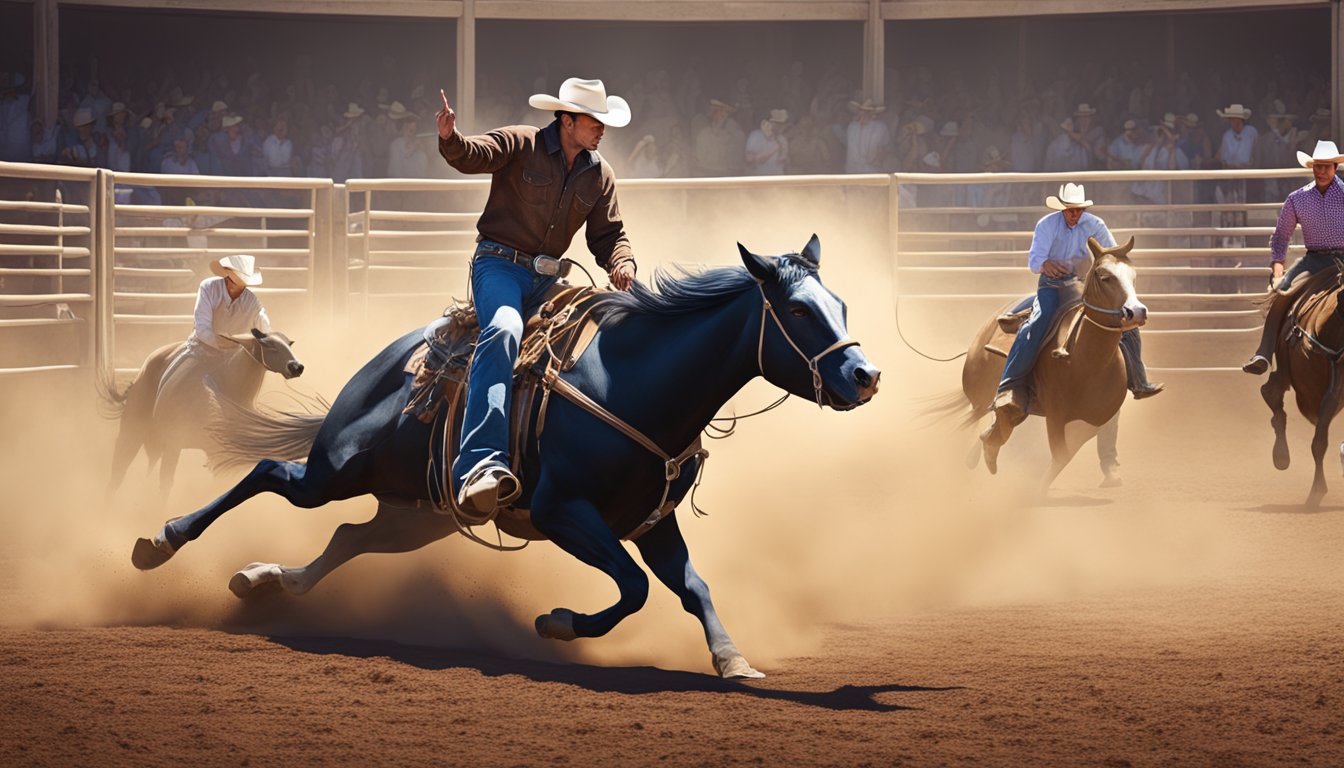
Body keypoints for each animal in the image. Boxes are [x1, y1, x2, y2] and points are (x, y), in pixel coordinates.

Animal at [98, 329, 305, 494]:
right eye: (269, 346)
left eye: (288, 343)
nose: (296, 366)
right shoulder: (174, 443)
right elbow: (166, 484)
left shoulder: (222, 451)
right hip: (131, 434)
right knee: (117, 474)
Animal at [128, 239, 881, 677]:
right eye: (800, 312)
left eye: (841, 303)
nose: (865, 376)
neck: (633, 383)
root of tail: (385, 359)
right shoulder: (563, 511)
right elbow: (634, 588)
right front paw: (557, 623)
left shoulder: (653, 524)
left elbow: (692, 586)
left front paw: (732, 660)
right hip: (339, 467)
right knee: (270, 476)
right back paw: (160, 543)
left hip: (420, 513)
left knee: (349, 536)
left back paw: (263, 580)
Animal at [956, 238, 1145, 489]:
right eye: (1105, 276)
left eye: (1133, 276)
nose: (1136, 312)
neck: (1088, 361)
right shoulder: (1056, 416)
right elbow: (1060, 454)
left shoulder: (1094, 420)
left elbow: (1066, 454)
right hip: (979, 397)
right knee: (967, 423)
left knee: (995, 421)